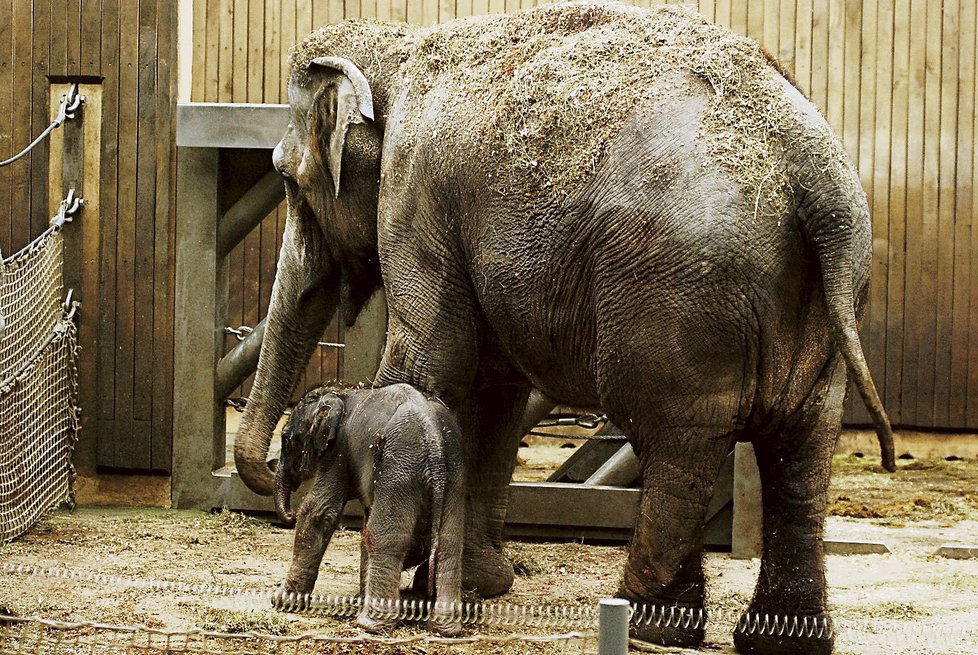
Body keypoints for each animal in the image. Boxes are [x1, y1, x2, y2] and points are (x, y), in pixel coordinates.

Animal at [268, 384, 464, 636]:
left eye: (285, 438)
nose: (289, 515)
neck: (342, 393)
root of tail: (434, 440)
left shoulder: (338, 451)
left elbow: (319, 510)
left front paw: (281, 602)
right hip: (453, 470)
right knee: (449, 541)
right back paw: (445, 629)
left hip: (399, 467)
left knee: (385, 537)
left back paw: (370, 625)